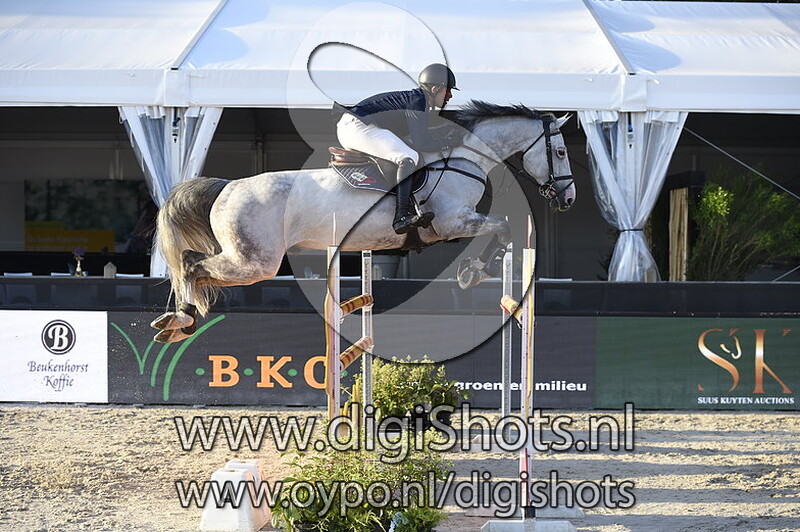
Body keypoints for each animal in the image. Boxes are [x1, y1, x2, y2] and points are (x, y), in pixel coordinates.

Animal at [150, 101, 576, 343]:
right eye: (559, 151)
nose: (569, 198)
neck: (462, 159)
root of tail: (227, 186)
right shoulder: (454, 223)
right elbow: (504, 225)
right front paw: (472, 271)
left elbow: (504, 228)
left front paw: (473, 270)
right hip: (255, 262)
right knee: (191, 264)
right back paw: (181, 319)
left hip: (248, 261)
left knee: (195, 267)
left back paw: (178, 322)